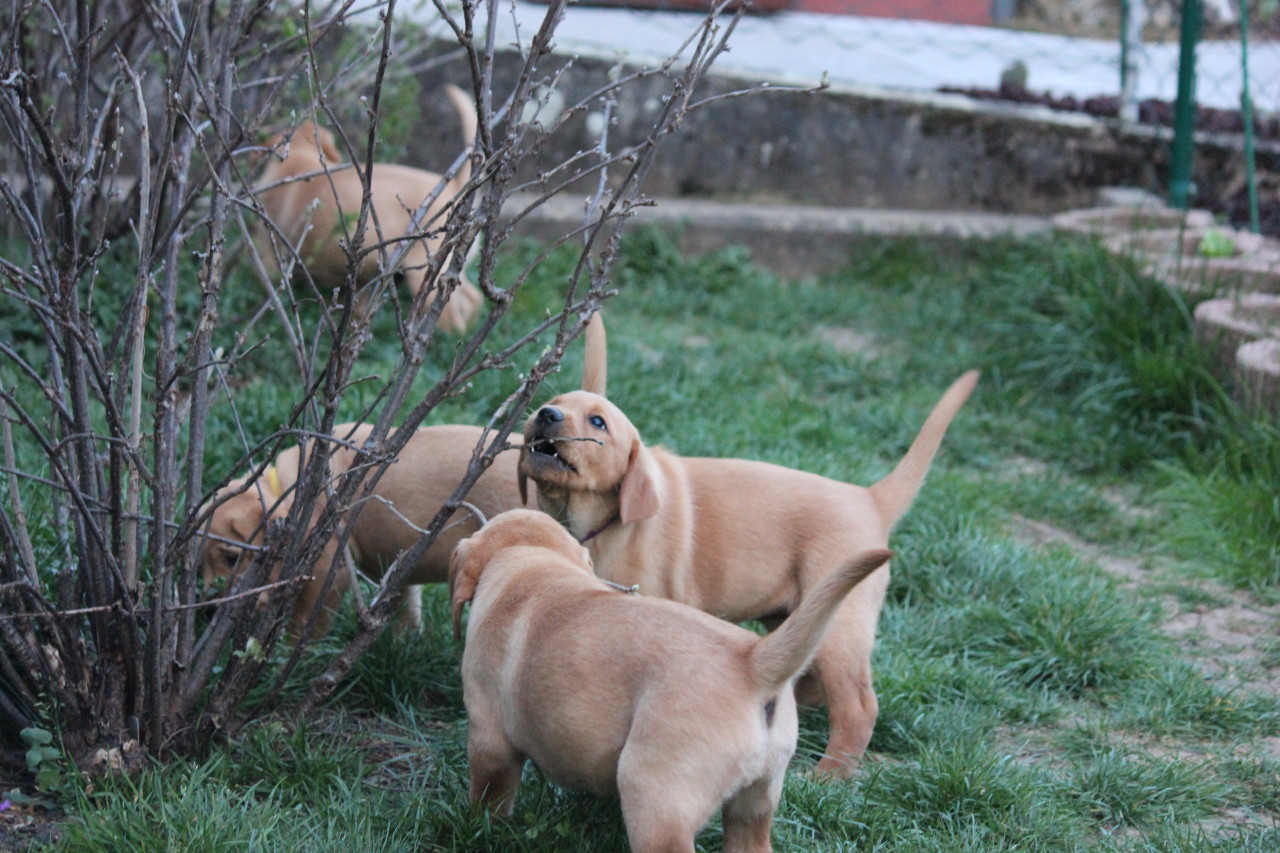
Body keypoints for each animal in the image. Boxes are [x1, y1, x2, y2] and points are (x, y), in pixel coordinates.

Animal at [253, 81, 481, 327]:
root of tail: (456, 186)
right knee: (472, 298)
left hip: (424, 272)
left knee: (451, 316)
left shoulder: (269, 256)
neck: (299, 157)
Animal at [450, 507, 890, 845]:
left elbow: (489, 795)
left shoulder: (489, 735)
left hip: (656, 800)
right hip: (757, 801)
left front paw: (477, 827)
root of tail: (752, 661)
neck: (531, 562)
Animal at [514, 368, 972, 773]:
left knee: (858, 705)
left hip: (843, 622)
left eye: (598, 422)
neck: (596, 520)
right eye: (555, 402)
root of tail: (869, 498)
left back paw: (829, 777)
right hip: (790, 612)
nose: (546, 415)